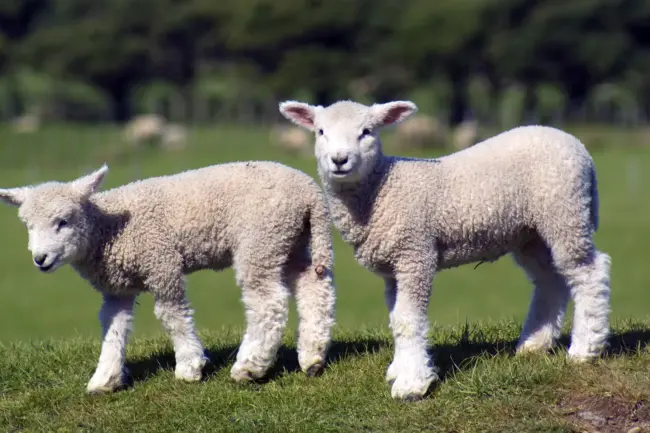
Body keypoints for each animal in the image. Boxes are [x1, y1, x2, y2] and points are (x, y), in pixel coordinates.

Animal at [0, 162, 336, 394]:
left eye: (63, 221)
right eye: (28, 226)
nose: (40, 259)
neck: (107, 231)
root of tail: (310, 192)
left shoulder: (161, 263)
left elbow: (171, 315)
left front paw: (190, 365)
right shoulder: (117, 289)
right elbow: (113, 327)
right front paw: (105, 378)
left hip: (262, 240)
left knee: (268, 304)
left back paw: (250, 366)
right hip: (290, 240)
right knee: (314, 286)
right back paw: (312, 356)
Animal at [279, 99, 611, 401]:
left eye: (366, 131)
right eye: (321, 131)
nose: (339, 160)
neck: (380, 188)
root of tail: (579, 147)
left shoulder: (415, 253)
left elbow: (408, 319)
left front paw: (412, 384)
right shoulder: (393, 268)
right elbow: (396, 319)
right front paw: (399, 369)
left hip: (565, 213)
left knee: (589, 273)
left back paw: (586, 349)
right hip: (530, 234)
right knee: (550, 281)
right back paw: (534, 345)